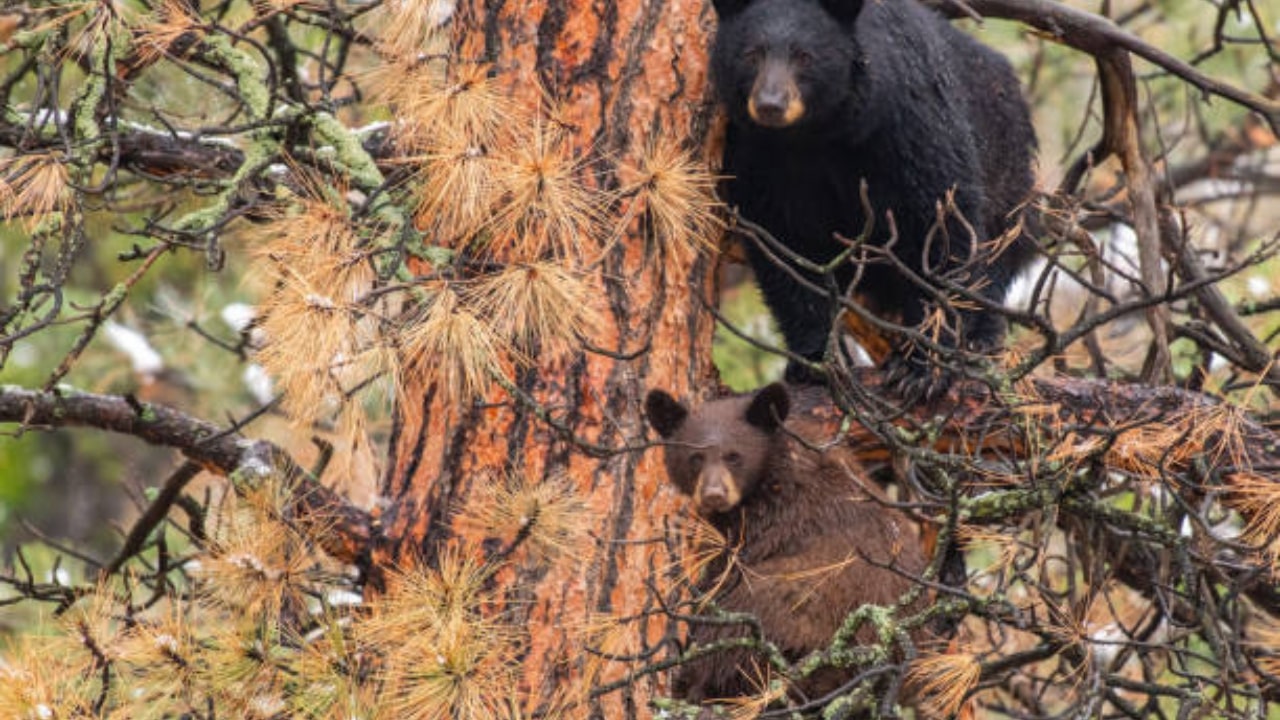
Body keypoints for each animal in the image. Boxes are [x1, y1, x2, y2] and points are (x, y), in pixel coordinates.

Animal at [645, 384, 926, 702]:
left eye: (734, 456)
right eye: (695, 457)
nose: (714, 495)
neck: (775, 466)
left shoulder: (768, 521)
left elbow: (722, 574)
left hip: (786, 605)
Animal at [711, 0, 1039, 392]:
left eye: (805, 56)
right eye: (751, 54)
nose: (770, 105)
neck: (816, 134)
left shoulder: (907, 127)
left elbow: (937, 225)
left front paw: (922, 367)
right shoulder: (757, 155)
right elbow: (782, 247)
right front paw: (815, 361)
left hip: (1009, 174)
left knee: (996, 255)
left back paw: (979, 341)